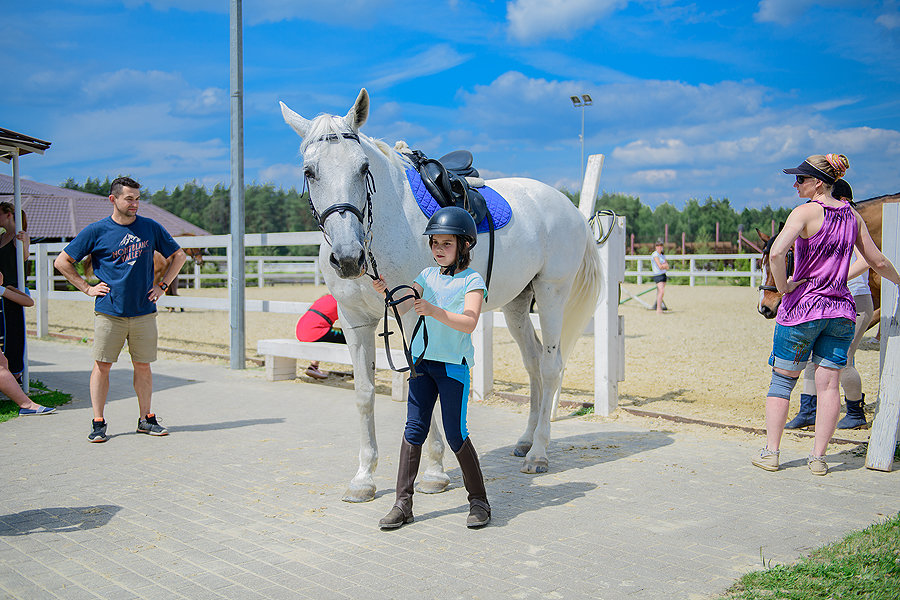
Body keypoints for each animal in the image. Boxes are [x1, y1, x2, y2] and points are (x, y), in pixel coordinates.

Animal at [280, 89, 604, 502]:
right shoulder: (355, 321)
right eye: (310, 171)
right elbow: (365, 393)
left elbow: (421, 383)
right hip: (517, 305)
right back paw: (526, 441)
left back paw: (539, 454)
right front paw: (364, 478)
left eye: (363, 167)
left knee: (550, 366)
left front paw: (433, 472)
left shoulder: (410, 314)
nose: (348, 257)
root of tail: (570, 208)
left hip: (551, 295)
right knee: (533, 363)